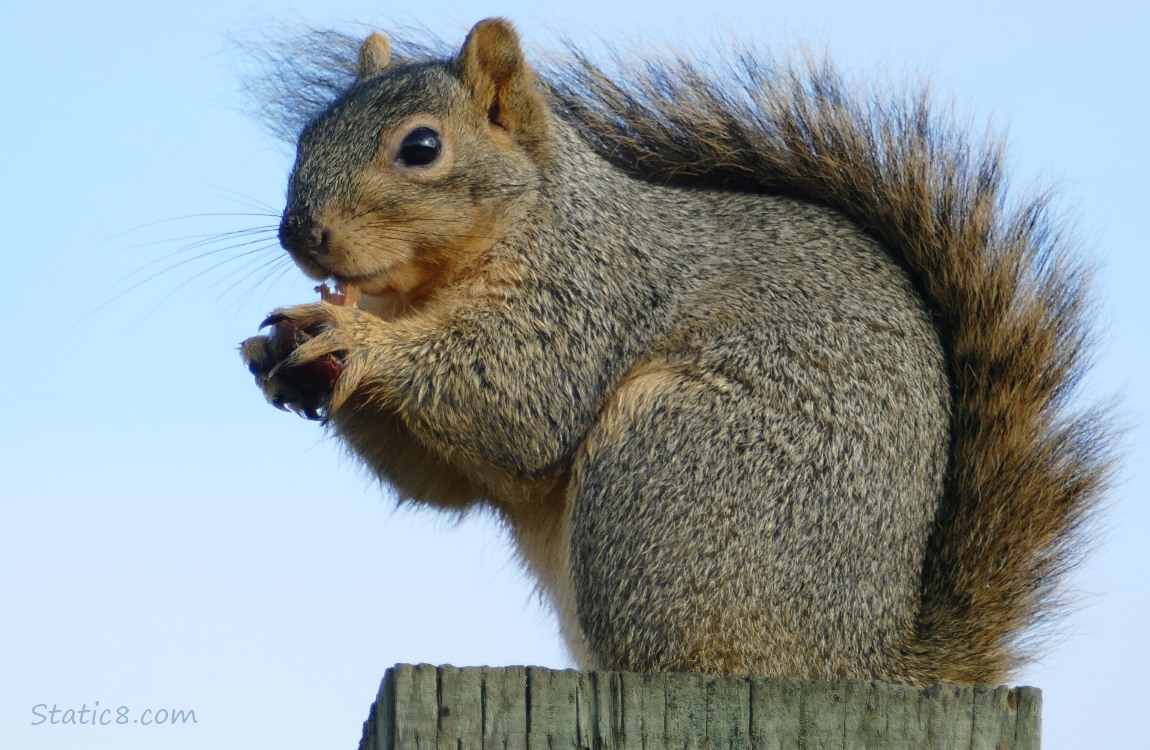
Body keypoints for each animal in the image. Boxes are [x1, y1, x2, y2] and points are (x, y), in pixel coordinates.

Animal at [240, 18, 1113, 686]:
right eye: (311, 132)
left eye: (421, 148)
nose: (300, 232)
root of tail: (866, 666)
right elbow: (445, 482)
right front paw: (272, 352)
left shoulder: (587, 300)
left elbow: (518, 401)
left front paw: (356, 339)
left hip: (672, 473)